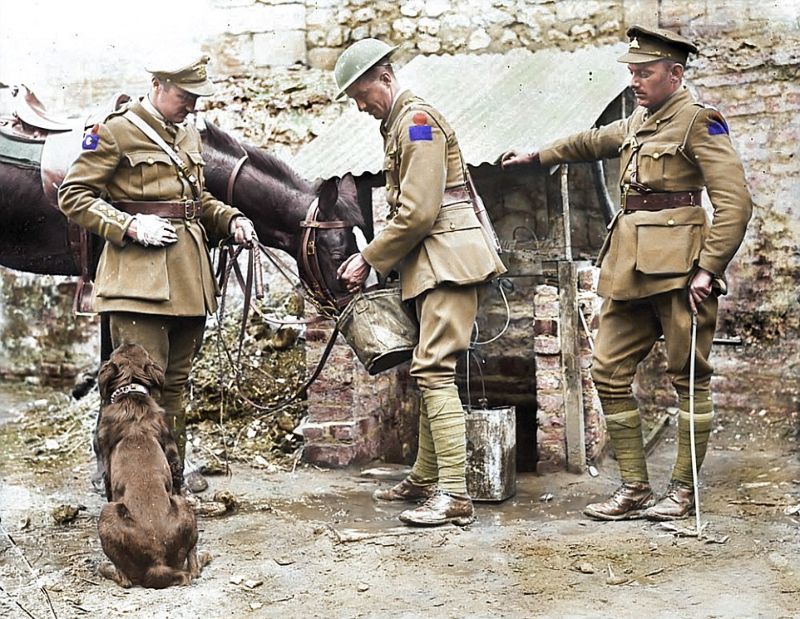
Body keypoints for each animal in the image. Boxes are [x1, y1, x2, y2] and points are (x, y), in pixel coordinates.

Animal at [94, 344, 209, 592]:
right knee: (191, 567)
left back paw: (105, 568)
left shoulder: (106, 464)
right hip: (183, 505)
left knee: (125, 578)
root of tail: (158, 562)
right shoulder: (172, 453)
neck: (130, 395)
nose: (126, 343)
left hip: (107, 513)